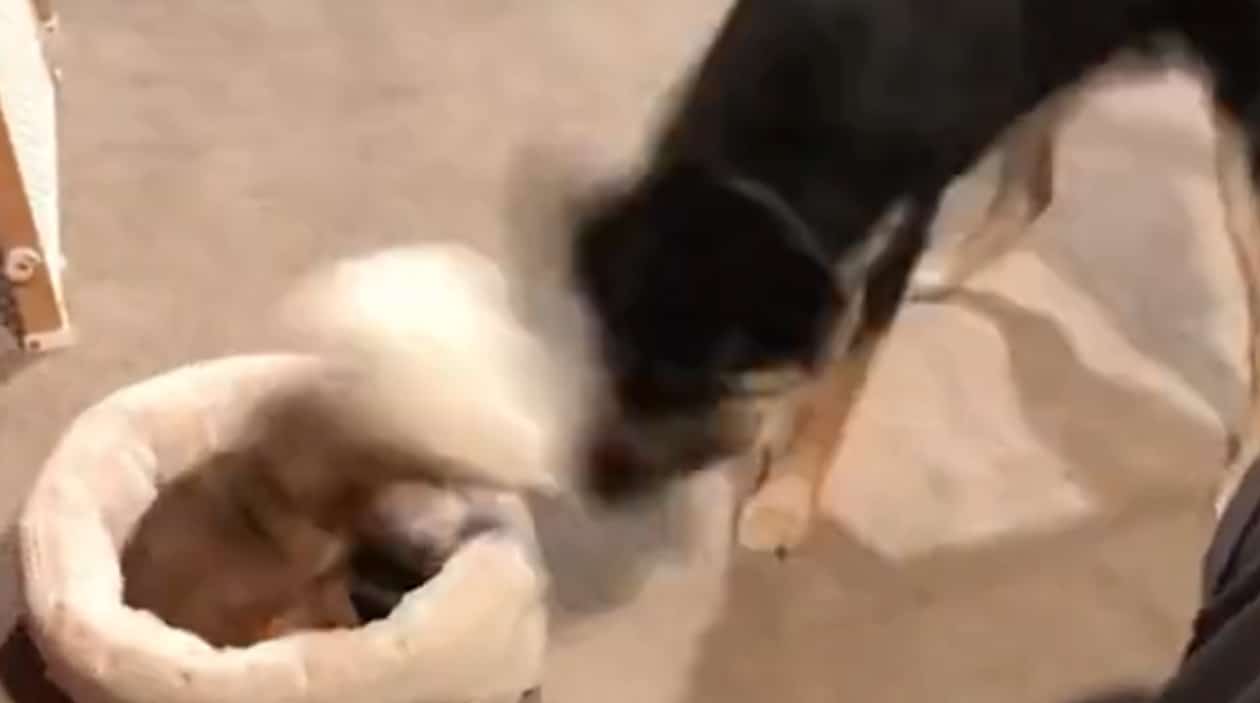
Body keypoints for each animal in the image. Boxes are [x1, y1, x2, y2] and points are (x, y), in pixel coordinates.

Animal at [511, 0, 1260, 554]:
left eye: (711, 379)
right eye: (607, 347)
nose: (596, 486)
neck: (765, 170)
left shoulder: (888, 243)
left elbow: (838, 389)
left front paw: (787, 499)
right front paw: (780, 422)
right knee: (1033, 190)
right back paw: (949, 270)